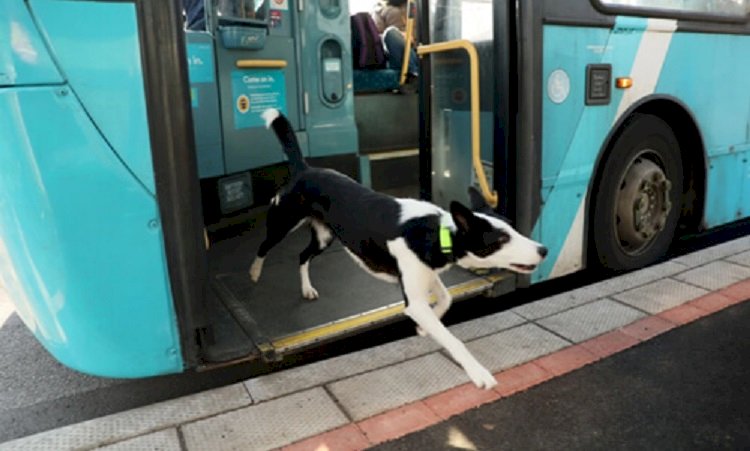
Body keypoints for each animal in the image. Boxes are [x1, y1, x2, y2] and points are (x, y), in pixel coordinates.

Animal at [250, 108, 548, 388]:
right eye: (501, 240)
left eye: (514, 229)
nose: (543, 249)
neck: (438, 232)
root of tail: (304, 168)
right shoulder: (415, 297)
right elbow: (451, 338)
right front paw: (478, 373)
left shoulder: (426, 275)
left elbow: (445, 300)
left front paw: (425, 329)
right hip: (282, 223)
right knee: (264, 246)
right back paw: (254, 272)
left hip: (324, 237)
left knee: (303, 255)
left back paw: (307, 289)